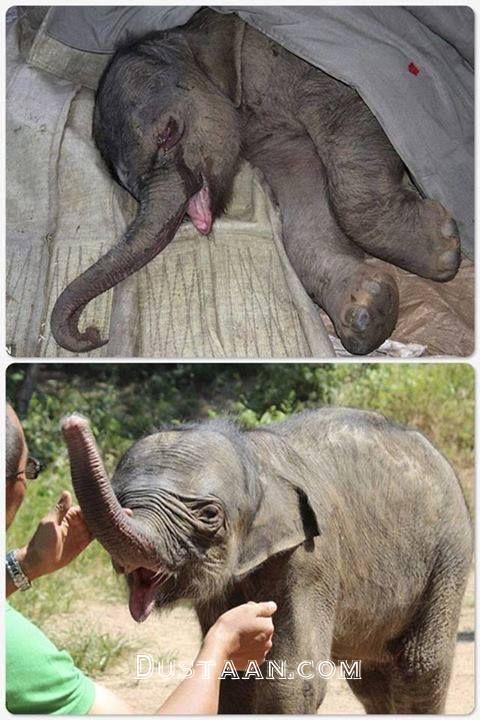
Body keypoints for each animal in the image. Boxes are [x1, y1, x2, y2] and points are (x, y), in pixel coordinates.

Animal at [51, 8, 461, 355]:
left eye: (168, 133)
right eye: (128, 187)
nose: (94, 333)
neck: (190, 35)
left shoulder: (311, 69)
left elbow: (349, 120)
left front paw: (445, 248)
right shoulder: (271, 139)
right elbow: (303, 195)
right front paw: (366, 312)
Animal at [62, 408, 472, 714]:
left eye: (209, 514)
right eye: (121, 499)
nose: (72, 421)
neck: (253, 457)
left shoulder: (312, 557)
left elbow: (294, 680)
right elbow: (233, 677)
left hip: (449, 555)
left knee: (421, 667)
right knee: (371, 679)